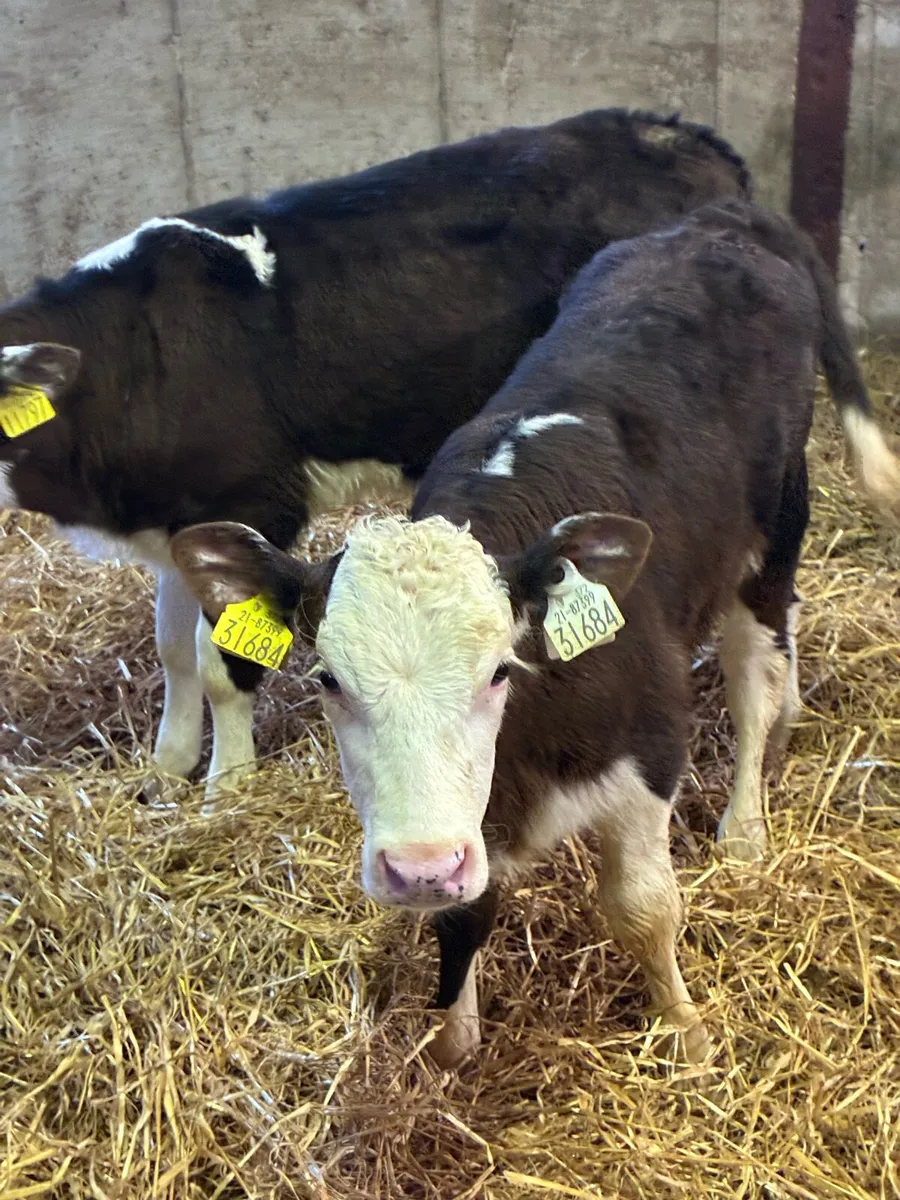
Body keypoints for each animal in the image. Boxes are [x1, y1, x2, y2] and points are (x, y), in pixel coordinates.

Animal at [0, 109, 751, 797]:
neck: (133, 355)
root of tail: (675, 132)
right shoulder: (177, 518)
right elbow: (172, 651)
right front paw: (167, 767)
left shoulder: (255, 499)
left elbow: (220, 665)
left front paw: (227, 785)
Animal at [170, 200, 899, 1069]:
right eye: (328, 682)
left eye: (497, 672)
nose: (416, 866)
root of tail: (718, 222)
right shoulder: (467, 822)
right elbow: (464, 916)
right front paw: (454, 1044)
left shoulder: (651, 751)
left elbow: (643, 907)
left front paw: (684, 1032)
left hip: (776, 527)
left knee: (757, 666)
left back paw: (748, 819)